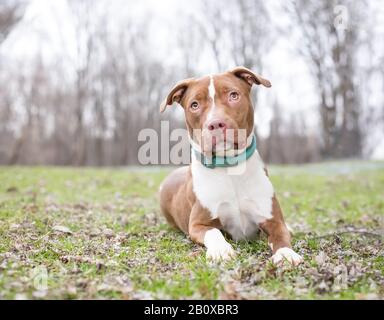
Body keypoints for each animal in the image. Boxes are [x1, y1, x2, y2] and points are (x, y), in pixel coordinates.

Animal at [158, 67, 304, 264]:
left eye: (233, 95)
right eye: (194, 105)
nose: (215, 124)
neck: (229, 167)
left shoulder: (272, 219)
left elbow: (280, 235)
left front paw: (285, 253)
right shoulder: (197, 224)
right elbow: (213, 232)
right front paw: (221, 250)